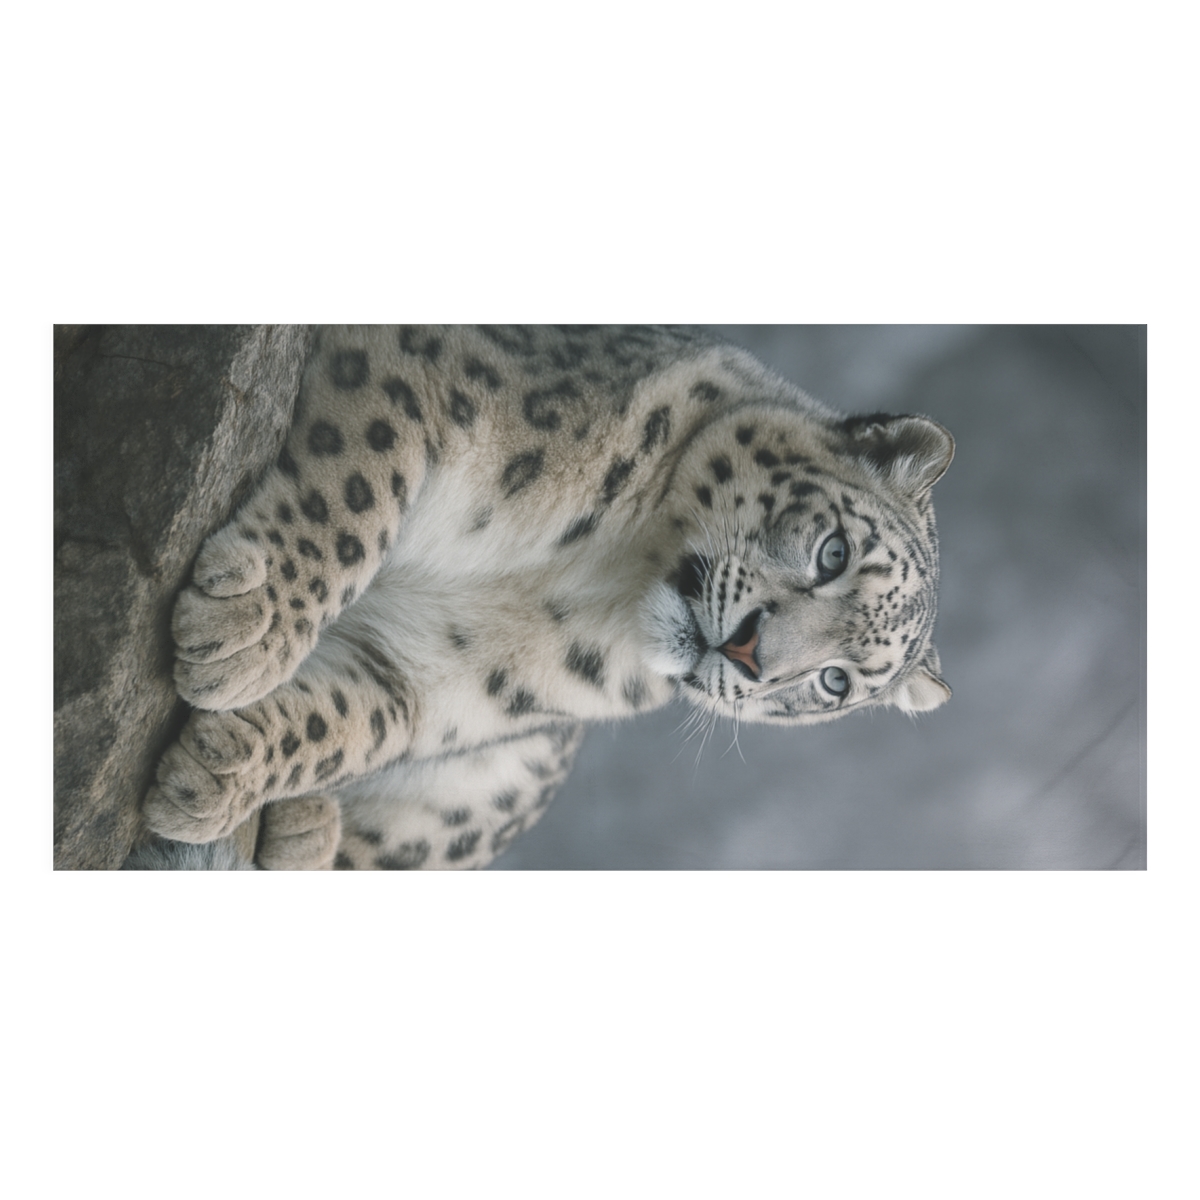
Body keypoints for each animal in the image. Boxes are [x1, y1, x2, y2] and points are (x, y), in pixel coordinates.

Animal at [125, 325, 954, 870]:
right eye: (834, 552)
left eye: (835, 681)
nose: (748, 653)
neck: (607, 568)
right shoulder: (429, 370)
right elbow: (356, 489)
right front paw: (248, 629)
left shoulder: (446, 676)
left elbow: (353, 722)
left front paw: (212, 774)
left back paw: (301, 831)